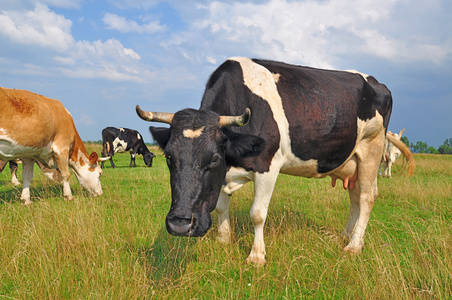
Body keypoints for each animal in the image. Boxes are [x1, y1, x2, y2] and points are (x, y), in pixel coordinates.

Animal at [134, 56, 414, 264]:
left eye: (213, 159)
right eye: (169, 157)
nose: (180, 225)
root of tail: (378, 83)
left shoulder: (267, 165)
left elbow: (257, 213)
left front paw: (256, 256)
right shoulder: (224, 175)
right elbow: (222, 207)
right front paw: (224, 240)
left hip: (372, 148)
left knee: (366, 197)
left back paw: (354, 246)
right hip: (352, 159)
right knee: (355, 196)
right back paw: (346, 236)